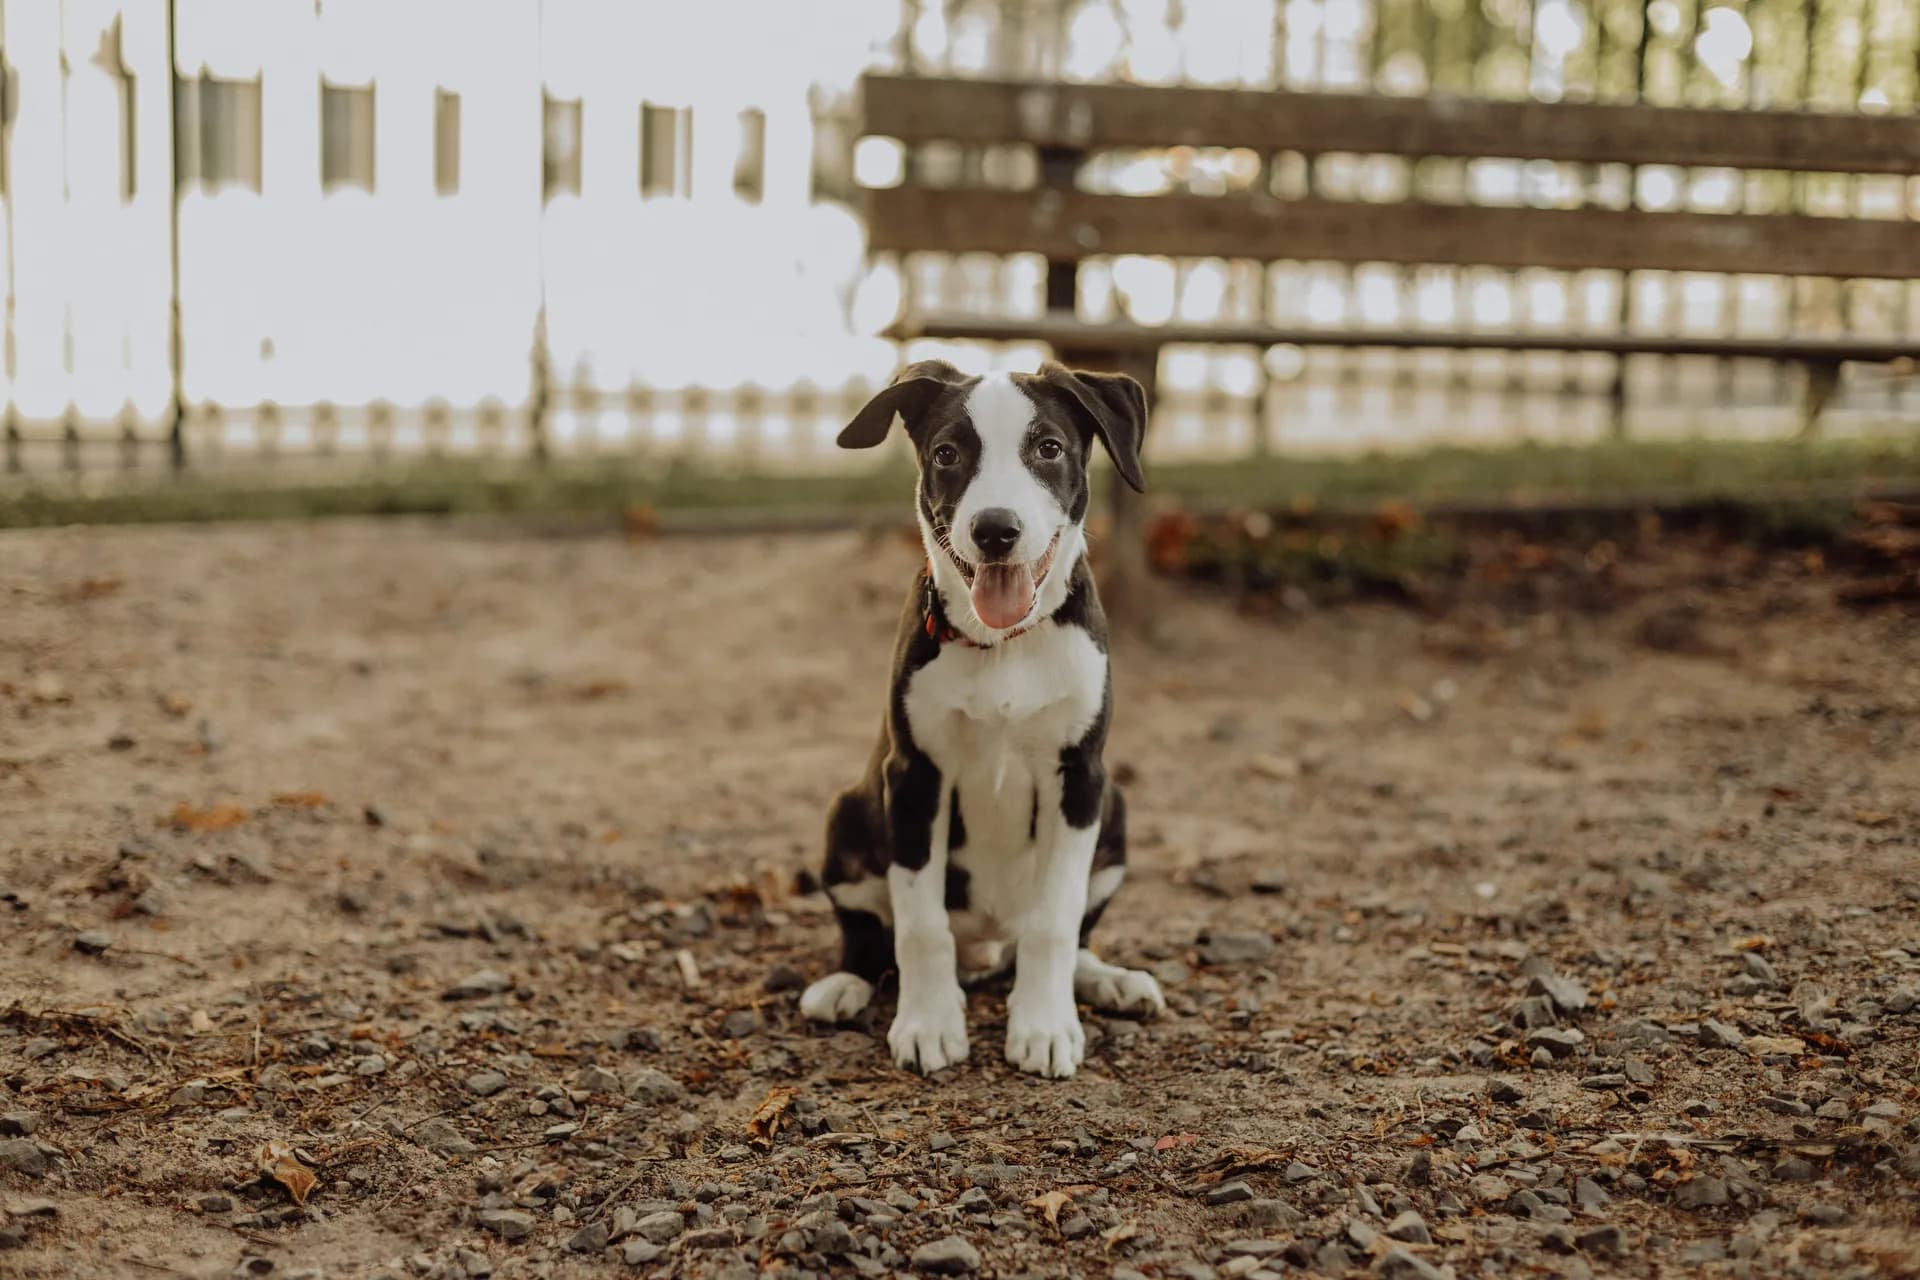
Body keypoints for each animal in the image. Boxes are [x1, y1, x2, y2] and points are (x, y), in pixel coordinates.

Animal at [798, 360, 1159, 1082]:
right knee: (870, 937)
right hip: (847, 812)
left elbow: (1055, 920)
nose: (996, 530)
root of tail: (987, 948)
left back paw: (1108, 979)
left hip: (1116, 808)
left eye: (1048, 447)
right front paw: (929, 1024)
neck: (1006, 645)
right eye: (947, 454)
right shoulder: (914, 777)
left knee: (1066, 936)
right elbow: (919, 923)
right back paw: (846, 984)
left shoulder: (1080, 777)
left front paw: (1044, 1027)